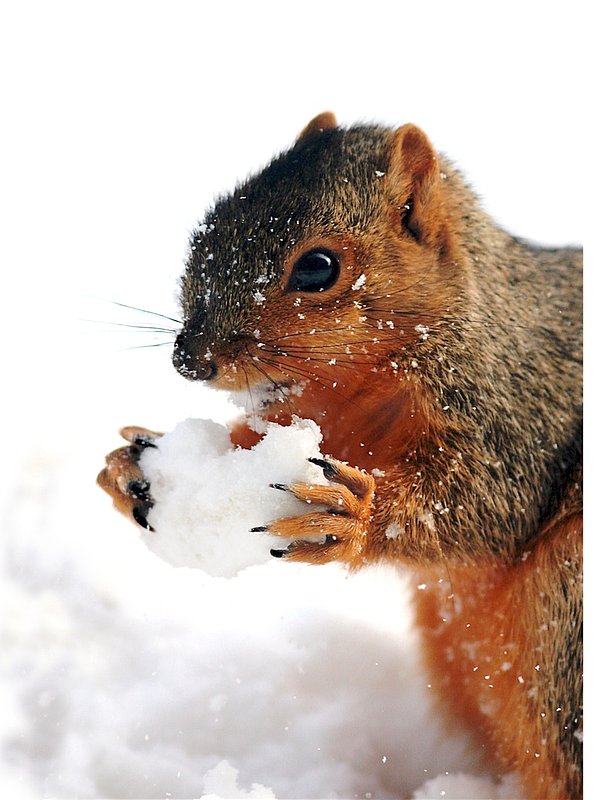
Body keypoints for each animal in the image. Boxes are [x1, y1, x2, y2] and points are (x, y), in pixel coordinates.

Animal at [98, 112, 583, 799]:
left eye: (318, 268)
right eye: (209, 227)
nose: (189, 359)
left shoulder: (518, 409)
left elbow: (487, 501)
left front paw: (355, 515)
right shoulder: (334, 415)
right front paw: (130, 468)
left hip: (568, 620)